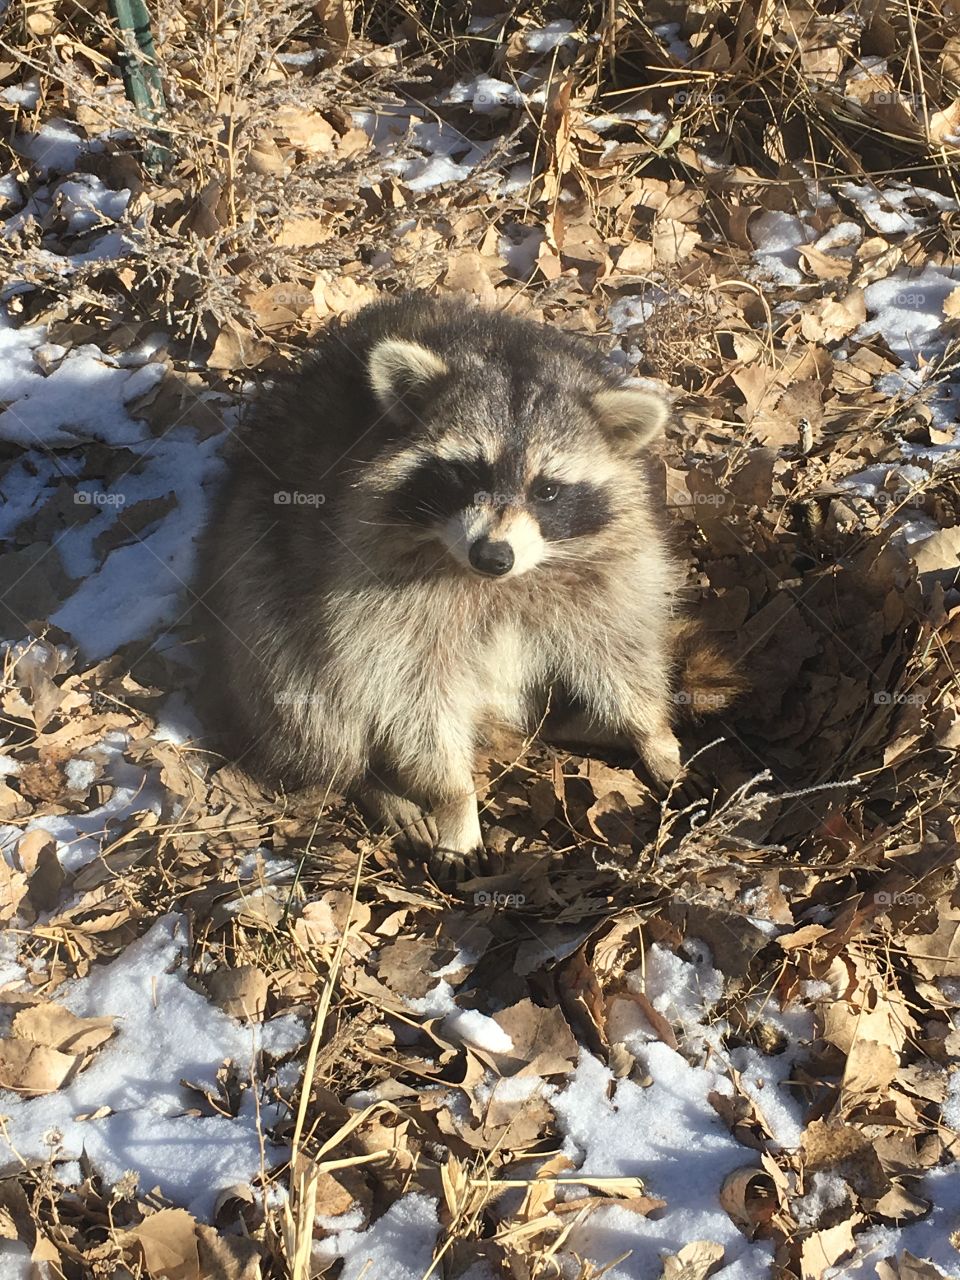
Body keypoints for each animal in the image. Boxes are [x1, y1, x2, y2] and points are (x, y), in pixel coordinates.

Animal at [197, 294, 712, 879]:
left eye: (548, 490)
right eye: (468, 473)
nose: (493, 555)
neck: (498, 583)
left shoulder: (609, 563)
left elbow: (621, 649)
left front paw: (655, 738)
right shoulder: (370, 593)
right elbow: (410, 699)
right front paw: (454, 803)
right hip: (255, 576)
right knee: (305, 690)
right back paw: (369, 781)